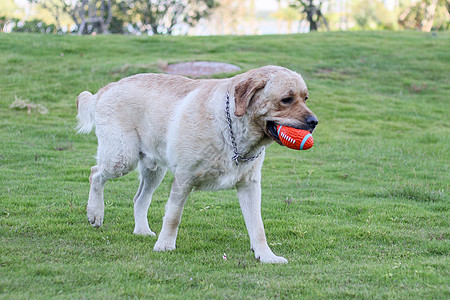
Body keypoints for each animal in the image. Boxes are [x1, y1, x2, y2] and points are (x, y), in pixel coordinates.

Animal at [76, 65, 316, 262]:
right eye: (286, 99)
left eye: (305, 98)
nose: (314, 122)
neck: (231, 130)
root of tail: (107, 88)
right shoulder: (184, 178)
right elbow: (173, 216)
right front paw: (165, 245)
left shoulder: (250, 185)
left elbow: (257, 226)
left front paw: (266, 256)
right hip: (122, 158)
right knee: (95, 173)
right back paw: (95, 213)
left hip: (154, 169)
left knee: (139, 198)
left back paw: (142, 230)